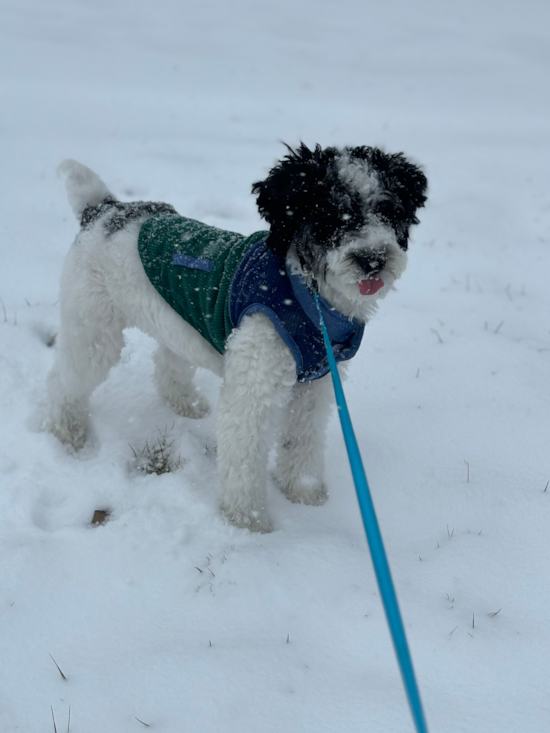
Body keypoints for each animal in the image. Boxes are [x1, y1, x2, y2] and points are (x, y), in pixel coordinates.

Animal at [47, 144, 430, 532]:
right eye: (330, 216)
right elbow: (245, 454)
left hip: (174, 319)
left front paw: (304, 493)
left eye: (389, 211)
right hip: (92, 328)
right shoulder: (253, 389)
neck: (308, 298)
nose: (373, 260)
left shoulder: (315, 385)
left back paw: (184, 403)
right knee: (64, 380)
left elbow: (302, 439)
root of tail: (104, 208)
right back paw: (68, 433)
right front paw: (249, 522)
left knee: (168, 360)